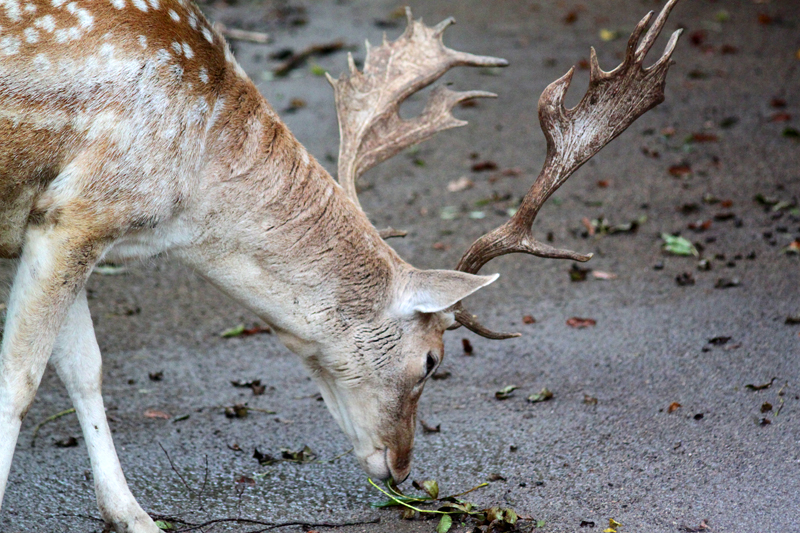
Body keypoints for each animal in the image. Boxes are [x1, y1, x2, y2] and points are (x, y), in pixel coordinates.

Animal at [0, 1, 680, 528]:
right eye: (433, 361)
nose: (402, 469)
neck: (185, 200)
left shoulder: (61, 224)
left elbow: (85, 369)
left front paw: (133, 517)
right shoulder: (82, 207)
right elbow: (20, 380)